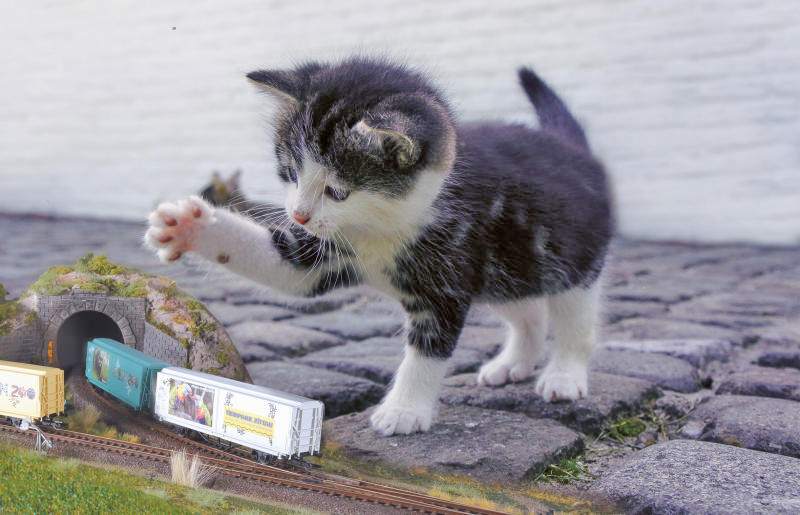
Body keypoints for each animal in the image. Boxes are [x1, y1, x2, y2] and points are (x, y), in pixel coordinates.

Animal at [147, 57, 612, 436]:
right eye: (291, 173)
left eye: (337, 191)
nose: (298, 215)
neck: (382, 226)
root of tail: (574, 149)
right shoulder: (324, 252)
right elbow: (283, 266)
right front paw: (188, 226)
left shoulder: (446, 279)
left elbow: (427, 351)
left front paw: (404, 411)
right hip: (506, 268)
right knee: (528, 310)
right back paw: (513, 363)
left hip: (570, 258)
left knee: (574, 320)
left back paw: (563, 375)